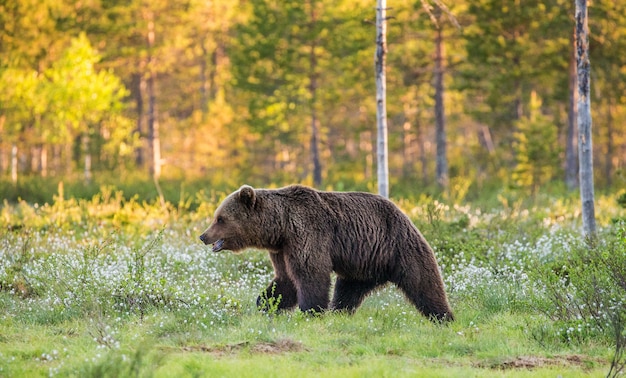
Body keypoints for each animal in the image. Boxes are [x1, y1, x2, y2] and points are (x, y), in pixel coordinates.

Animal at [200, 185, 454, 320]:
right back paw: (339, 313)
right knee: (347, 291)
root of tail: (404, 213)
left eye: (220, 218)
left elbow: (310, 274)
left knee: (423, 281)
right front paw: (266, 303)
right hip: (362, 265)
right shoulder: (283, 249)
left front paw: (311, 311)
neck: (280, 227)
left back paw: (444, 317)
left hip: (397, 246)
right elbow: (285, 280)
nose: (203, 236)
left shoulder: (307, 235)